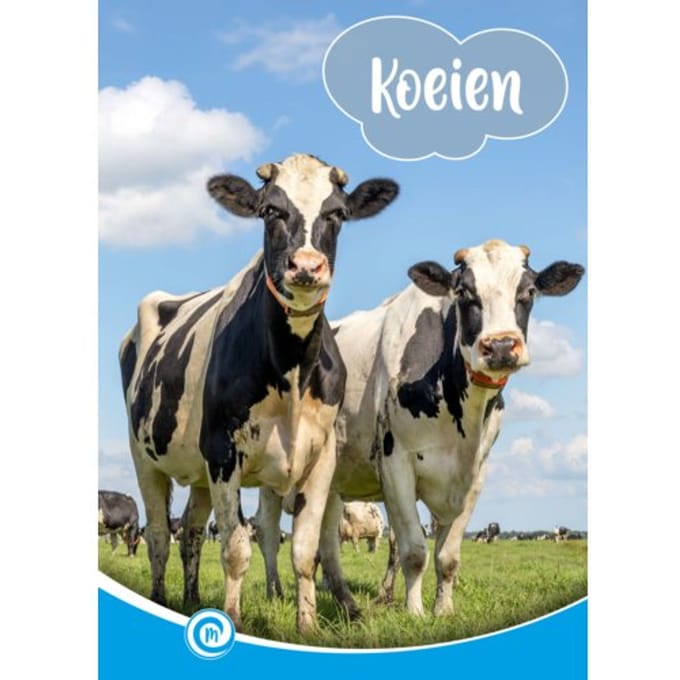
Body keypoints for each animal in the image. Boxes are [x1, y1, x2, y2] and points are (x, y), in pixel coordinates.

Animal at [119, 153, 398, 632]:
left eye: (338, 213)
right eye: (270, 210)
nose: (306, 266)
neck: (291, 369)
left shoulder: (322, 456)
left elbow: (305, 551)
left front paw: (307, 627)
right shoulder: (223, 452)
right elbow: (235, 549)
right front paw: (232, 617)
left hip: (198, 470)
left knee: (190, 531)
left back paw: (192, 599)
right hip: (146, 458)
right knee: (157, 534)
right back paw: (160, 598)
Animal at [256, 239, 583, 618]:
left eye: (529, 291)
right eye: (463, 292)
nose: (501, 346)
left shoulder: (475, 474)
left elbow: (448, 556)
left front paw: (444, 610)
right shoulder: (395, 461)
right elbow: (413, 550)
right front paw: (415, 612)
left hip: (332, 475)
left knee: (326, 539)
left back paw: (348, 605)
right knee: (267, 532)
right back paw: (275, 593)